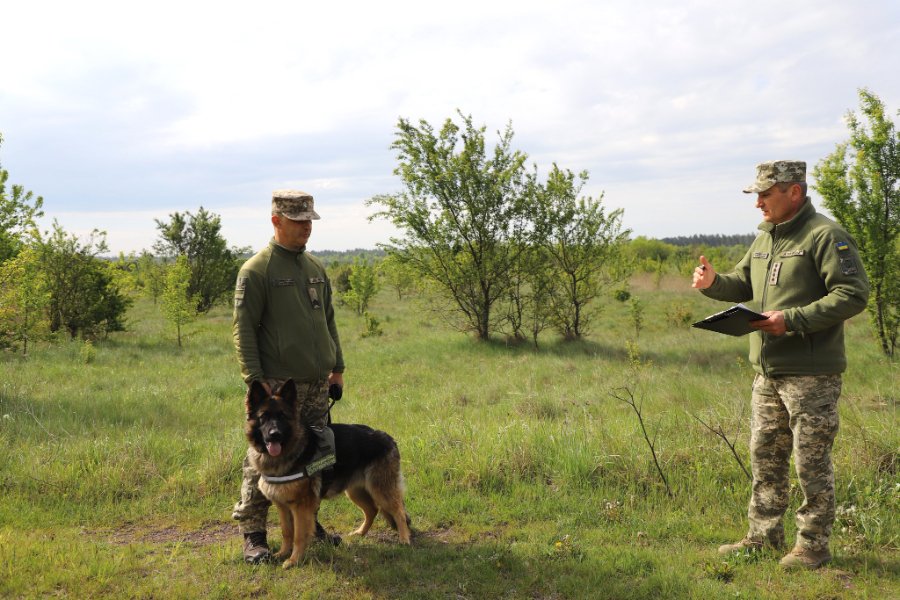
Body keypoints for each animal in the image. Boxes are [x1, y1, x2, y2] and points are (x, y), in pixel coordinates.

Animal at [245, 378, 412, 568]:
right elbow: (286, 532)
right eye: (264, 417)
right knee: (372, 510)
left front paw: (294, 560)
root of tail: (388, 437)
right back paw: (360, 533)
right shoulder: (282, 505)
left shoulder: (300, 506)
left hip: (381, 490)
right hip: (355, 492)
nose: (274, 435)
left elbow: (298, 535)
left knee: (398, 512)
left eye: (282, 416)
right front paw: (282, 553)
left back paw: (404, 539)